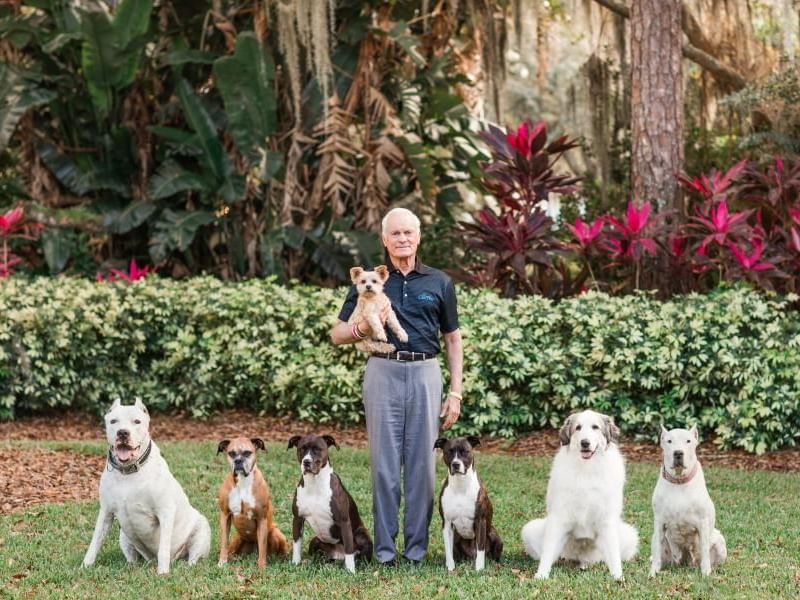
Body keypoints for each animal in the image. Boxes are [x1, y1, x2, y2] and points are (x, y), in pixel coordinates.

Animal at [82, 398, 209, 572]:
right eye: (113, 421)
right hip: (124, 535)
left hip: (202, 529)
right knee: (132, 557)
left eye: (137, 421)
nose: (122, 433)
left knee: (192, 557)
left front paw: (163, 573)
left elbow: (163, 549)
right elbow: (95, 541)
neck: (128, 472)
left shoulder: (165, 511)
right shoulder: (106, 512)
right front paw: (85, 566)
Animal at [217, 436, 290, 568]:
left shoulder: (261, 519)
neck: (243, 482)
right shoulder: (225, 515)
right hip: (237, 538)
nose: (238, 461)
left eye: (247, 453)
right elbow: (224, 541)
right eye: (231, 453)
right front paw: (222, 562)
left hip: (276, 533)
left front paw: (261, 567)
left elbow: (262, 546)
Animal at [290, 436, 374, 572]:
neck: (315, 484)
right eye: (302, 449)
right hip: (315, 540)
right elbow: (297, 543)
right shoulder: (297, 518)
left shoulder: (344, 522)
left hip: (362, 535)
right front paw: (295, 563)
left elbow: (349, 548)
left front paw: (351, 571)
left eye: (318, 449)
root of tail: (339, 556)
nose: (306, 462)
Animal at [434, 436, 504, 572]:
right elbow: (448, 548)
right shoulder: (447, 523)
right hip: (457, 538)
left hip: (494, 534)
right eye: (449, 452)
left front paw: (479, 569)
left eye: (465, 451)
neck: (460, 485)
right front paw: (450, 567)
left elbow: (481, 547)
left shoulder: (480, 521)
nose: (456, 464)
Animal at [520, 410, 640, 580]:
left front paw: (618, 577)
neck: (587, 469)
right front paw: (541, 575)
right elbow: (548, 551)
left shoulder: (607, 520)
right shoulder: (558, 517)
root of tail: (581, 559)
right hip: (530, 530)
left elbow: (614, 556)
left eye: (595, 427)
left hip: (630, 535)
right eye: (578, 428)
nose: (585, 443)